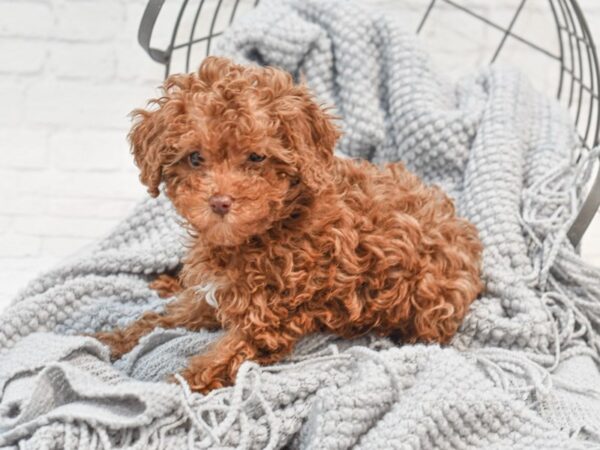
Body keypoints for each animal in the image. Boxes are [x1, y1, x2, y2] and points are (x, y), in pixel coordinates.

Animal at [97, 56, 482, 394]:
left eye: (256, 157)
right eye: (194, 158)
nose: (220, 202)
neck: (271, 226)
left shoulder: (267, 321)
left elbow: (216, 361)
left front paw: (173, 392)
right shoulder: (210, 297)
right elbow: (163, 318)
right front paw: (113, 338)